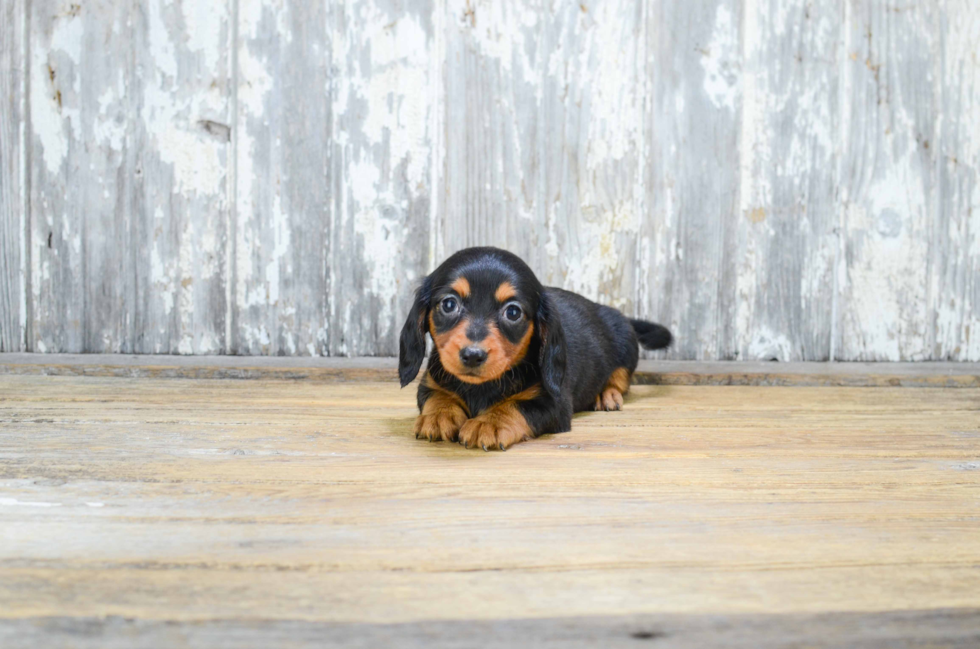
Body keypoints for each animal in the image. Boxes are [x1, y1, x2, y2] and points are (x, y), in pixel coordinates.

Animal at [400, 247, 672, 450]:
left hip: (625, 341)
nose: (473, 355)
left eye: (513, 312)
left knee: (620, 377)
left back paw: (606, 394)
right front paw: (439, 415)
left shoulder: (554, 404)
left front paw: (489, 422)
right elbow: (437, 395)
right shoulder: (430, 382)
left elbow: (515, 406)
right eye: (448, 304)